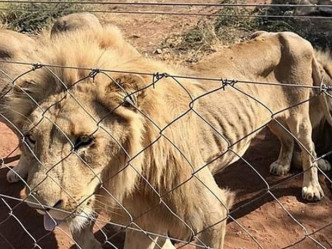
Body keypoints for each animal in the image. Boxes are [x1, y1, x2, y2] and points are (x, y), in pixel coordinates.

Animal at [0, 28, 330, 248]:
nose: (40, 206)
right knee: (286, 139)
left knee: (309, 147)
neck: (127, 173)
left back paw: (311, 187)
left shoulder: (209, 214)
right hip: (275, 117)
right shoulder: (142, 217)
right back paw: (282, 165)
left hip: (298, 114)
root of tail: (289, 33)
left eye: (84, 140)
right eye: (30, 139)